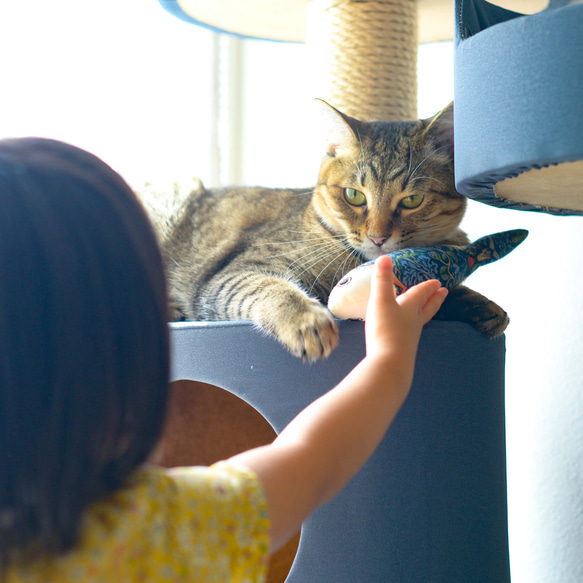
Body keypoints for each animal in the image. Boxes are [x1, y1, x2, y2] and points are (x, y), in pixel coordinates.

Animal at [144, 102, 508, 362]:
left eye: (412, 200)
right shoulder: (235, 273)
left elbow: (447, 292)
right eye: (354, 196)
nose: (378, 237)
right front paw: (305, 320)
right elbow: (273, 289)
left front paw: (480, 304)